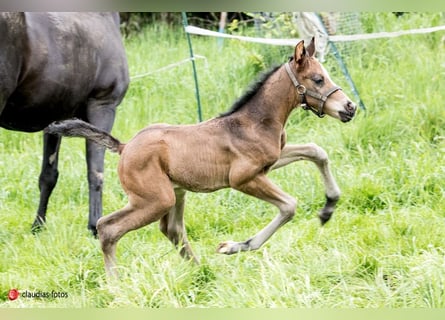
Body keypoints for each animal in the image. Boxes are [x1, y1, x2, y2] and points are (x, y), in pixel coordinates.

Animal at [1, 12, 130, 235]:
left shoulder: (55, 120)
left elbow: (48, 176)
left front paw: (38, 226)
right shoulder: (103, 106)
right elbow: (96, 172)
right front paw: (95, 226)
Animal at [46, 38, 356, 278]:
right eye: (318, 79)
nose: (349, 107)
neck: (253, 122)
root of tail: (123, 147)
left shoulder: (272, 160)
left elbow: (316, 151)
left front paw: (328, 208)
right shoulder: (243, 178)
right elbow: (289, 206)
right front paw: (234, 247)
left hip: (175, 193)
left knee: (171, 229)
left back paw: (202, 271)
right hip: (155, 199)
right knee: (108, 228)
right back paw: (116, 285)